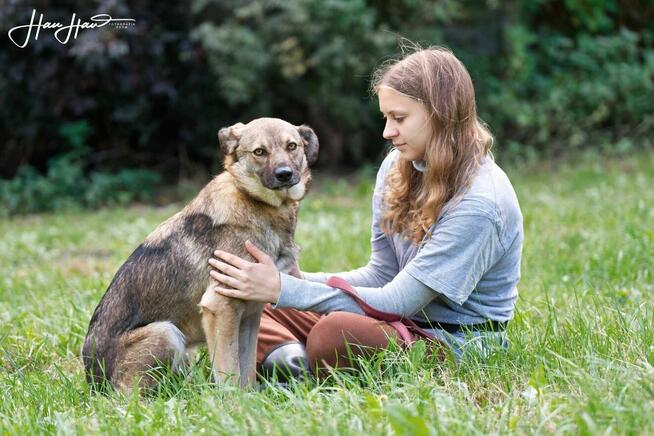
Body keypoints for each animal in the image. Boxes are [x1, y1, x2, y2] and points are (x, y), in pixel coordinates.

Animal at [83, 116, 320, 392]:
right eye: (260, 152)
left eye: (292, 146)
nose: (285, 174)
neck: (259, 204)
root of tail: (93, 383)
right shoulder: (220, 307)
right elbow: (230, 373)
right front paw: (234, 401)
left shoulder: (250, 316)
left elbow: (246, 371)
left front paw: (250, 397)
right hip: (166, 333)